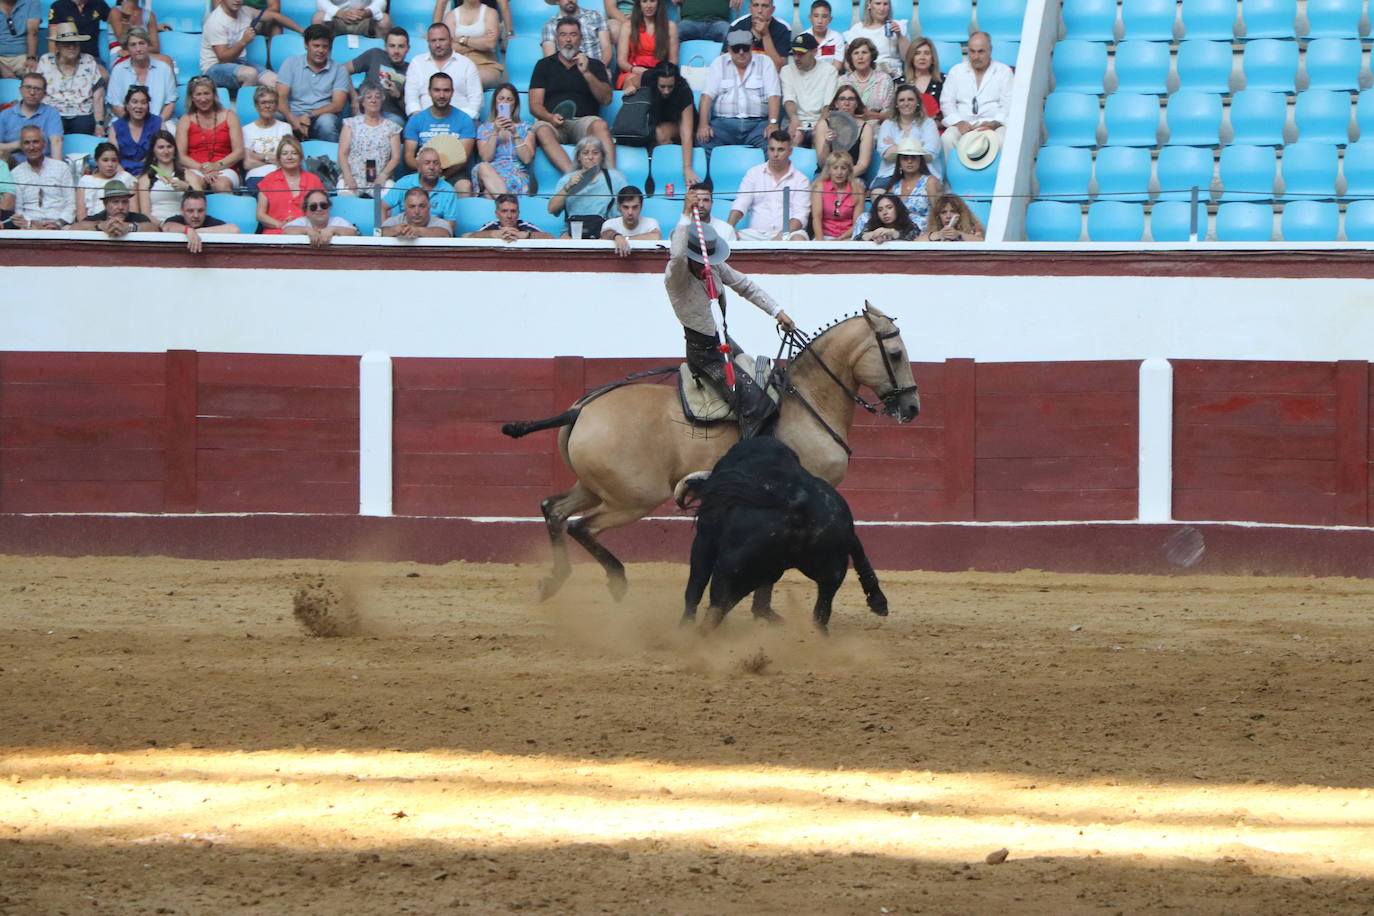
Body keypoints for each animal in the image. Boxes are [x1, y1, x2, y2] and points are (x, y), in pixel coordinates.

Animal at [500, 302, 917, 609]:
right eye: (896, 354)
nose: (912, 408)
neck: (809, 400)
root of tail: (581, 410)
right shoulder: (817, 496)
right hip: (634, 497)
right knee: (580, 526)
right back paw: (615, 581)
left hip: (594, 487)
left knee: (554, 510)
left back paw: (553, 582)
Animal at [678, 439, 890, 634]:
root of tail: (799, 503)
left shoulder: (704, 538)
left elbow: (695, 584)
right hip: (828, 571)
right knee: (821, 613)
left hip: (731, 570)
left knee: (715, 609)